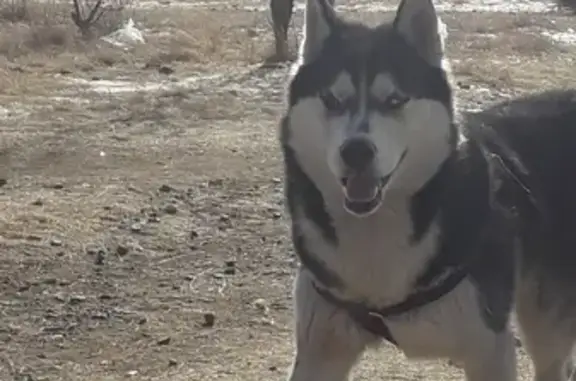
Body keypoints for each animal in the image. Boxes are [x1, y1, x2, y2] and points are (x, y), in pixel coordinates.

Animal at [280, 0, 576, 378]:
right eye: (332, 100)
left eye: (394, 100)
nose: (356, 151)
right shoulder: (320, 349)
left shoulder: (489, 347)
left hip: (544, 323)